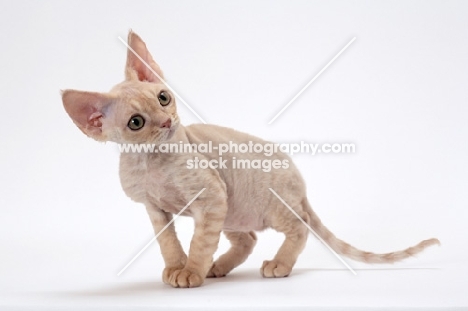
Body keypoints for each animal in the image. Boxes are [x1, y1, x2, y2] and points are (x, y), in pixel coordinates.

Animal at [61, 30, 438, 288]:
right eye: (136, 123)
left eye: (164, 98)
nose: (167, 122)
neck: (151, 163)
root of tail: (299, 182)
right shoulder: (156, 209)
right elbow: (168, 242)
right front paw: (177, 267)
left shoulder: (210, 196)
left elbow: (199, 241)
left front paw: (192, 270)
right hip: (233, 209)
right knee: (248, 239)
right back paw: (220, 266)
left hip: (266, 203)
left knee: (300, 225)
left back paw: (277, 264)